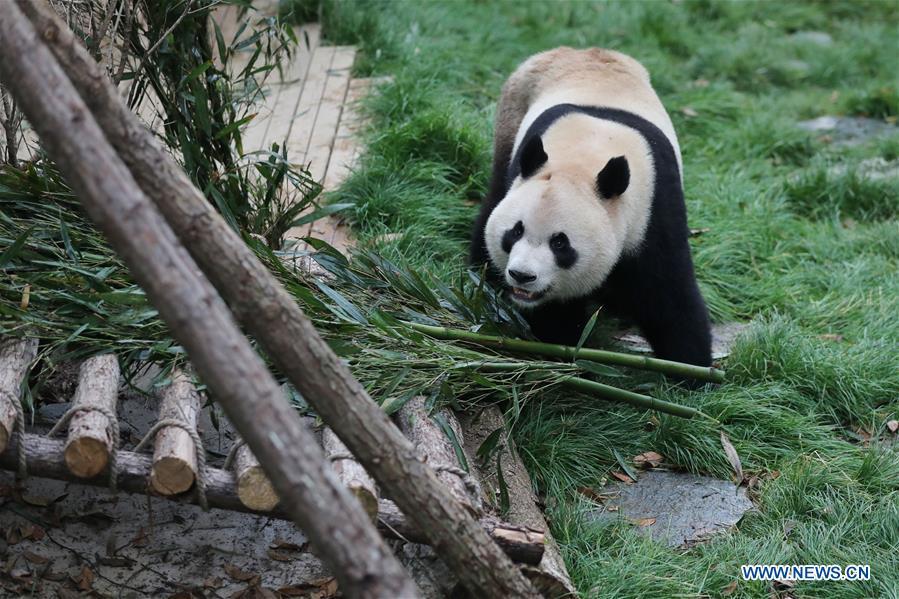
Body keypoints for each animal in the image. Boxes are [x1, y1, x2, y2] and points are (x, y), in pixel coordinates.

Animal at [470, 47, 712, 368]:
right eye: (515, 232)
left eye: (560, 243)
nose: (522, 276)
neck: (582, 158)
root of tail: (580, 50)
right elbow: (555, 312)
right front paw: (563, 348)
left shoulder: (653, 210)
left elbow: (668, 295)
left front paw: (690, 367)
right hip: (512, 117)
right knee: (496, 191)